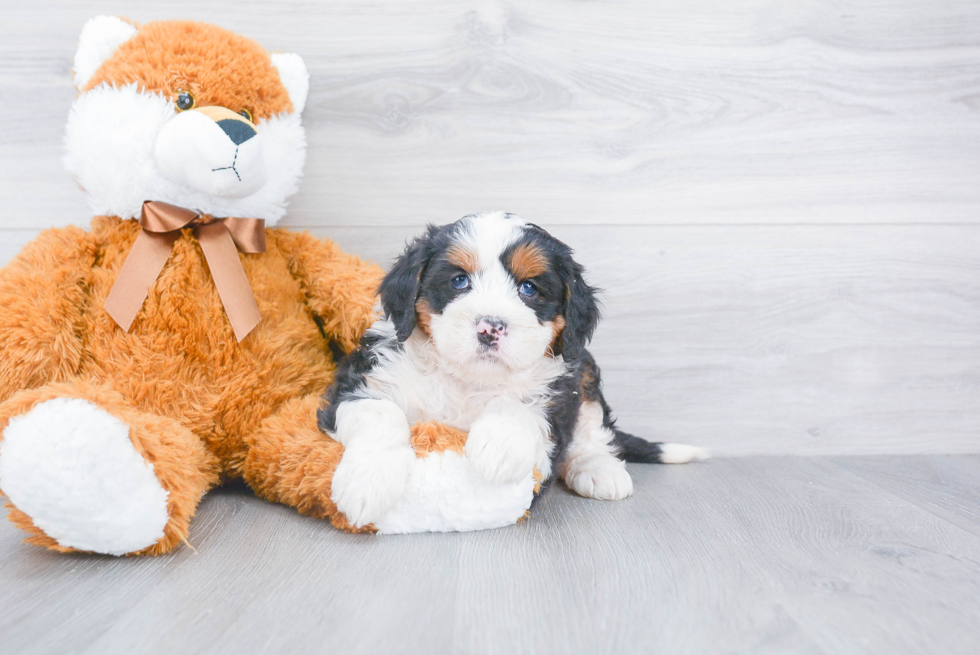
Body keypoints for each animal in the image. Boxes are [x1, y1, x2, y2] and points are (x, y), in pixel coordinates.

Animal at [318, 213, 708, 532]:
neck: (468, 379)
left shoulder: (559, 392)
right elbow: (380, 413)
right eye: (459, 281)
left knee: (592, 431)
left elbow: (521, 405)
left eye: (528, 288)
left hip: (584, 369)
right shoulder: (360, 382)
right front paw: (367, 482)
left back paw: (599, 470)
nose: (490, 327)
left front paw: (498, 448)